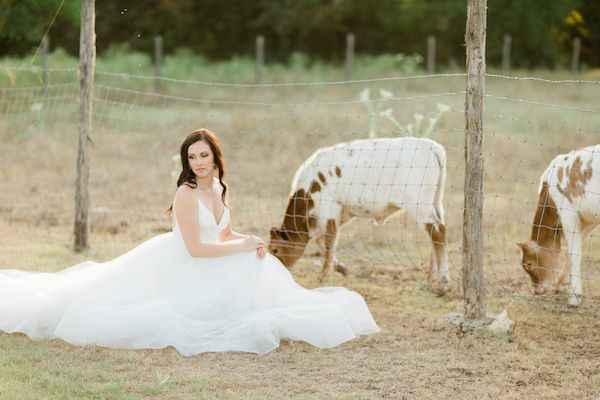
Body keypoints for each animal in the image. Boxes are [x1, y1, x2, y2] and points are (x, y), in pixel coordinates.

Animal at [270, 137, 448, 294]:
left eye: (275, 250)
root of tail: (429, 145)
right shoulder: (340, 214)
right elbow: (324, 243)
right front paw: (341, 268)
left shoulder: (328, 211)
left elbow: (328, 244)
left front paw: (323, 278)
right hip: (434, 203)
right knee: (435, 237)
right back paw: (430, 281)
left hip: (420, 206)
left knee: (438, 232)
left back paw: (443, 282)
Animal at [516, 145, 600, 304]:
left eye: (529, 264)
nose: (536, 291)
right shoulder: (588, 220)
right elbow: (569, 252)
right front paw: (561, 284)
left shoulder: (568, 213)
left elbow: (574, 253)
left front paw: (575, 297)